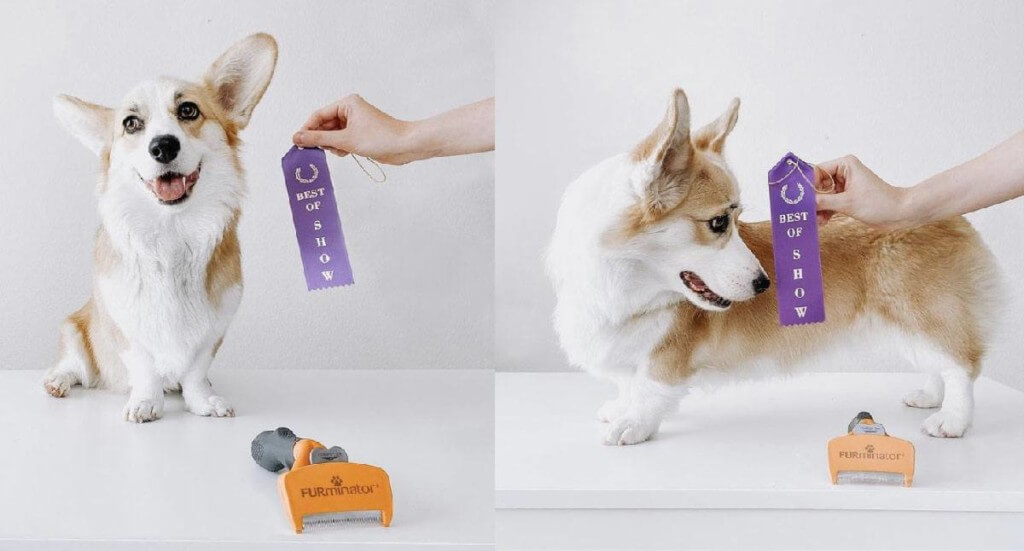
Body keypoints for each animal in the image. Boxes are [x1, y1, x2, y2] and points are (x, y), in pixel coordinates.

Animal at [42, 33, 278, 419]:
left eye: (188, 111)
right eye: (131, 123)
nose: (163, 146)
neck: (172, 231)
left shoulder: (214, 329)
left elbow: (196, 370)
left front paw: (203, 400)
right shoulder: (125, 327)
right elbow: (144, 367)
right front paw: (145, 402)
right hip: (74, 328)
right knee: (74, 366)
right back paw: (58, 381)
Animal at [552, 88, 999, 444]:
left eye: (734, 219)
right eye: (719, 222)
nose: (764, 284)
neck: (625, 282)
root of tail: (953, 218)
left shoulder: (669, 352)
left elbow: (650, 387)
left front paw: (632, 425)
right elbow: (630, 383)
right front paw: (619, 408)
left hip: (919, 313)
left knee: (961, 364)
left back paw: (952, 420)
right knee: (941, 363)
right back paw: (930, 397)